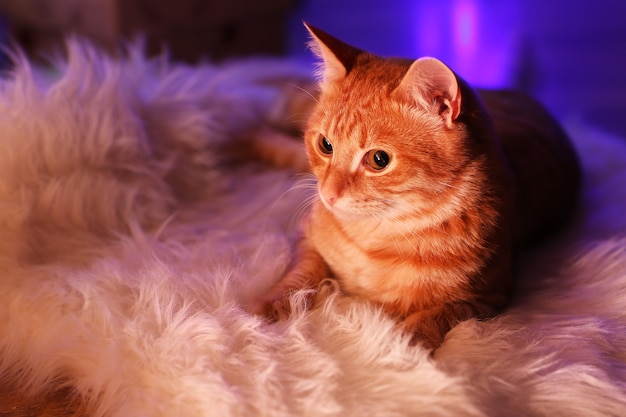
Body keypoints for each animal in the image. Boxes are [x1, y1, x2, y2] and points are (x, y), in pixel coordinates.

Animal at [252, 22, 576, 348]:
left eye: (379, 159)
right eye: (325, 145)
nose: (327, 195)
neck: (370, 240)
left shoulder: (489, 297)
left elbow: (438, 314)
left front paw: (403, 343)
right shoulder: (307, 238)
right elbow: (302, 272)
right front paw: (274, 303)